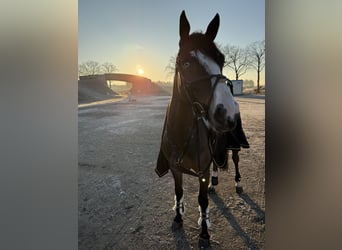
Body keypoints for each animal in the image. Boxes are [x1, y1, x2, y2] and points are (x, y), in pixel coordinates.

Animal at [156, 10, 240, 248]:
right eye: (185, 63)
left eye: (221, 59)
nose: (227, 112)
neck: (183, 132)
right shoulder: (175, 168)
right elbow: (179, 191)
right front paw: (178, 217)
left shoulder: (202, 170)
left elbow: (202, 201)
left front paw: (204, 232)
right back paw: (214, 182)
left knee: (235, 160)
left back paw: (237, 183)